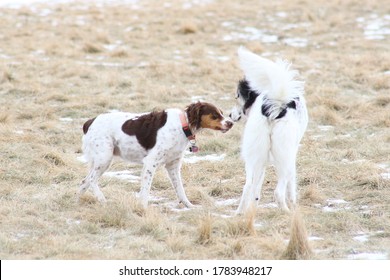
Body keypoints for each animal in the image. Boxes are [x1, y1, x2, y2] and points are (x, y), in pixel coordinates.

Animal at [77, 101, 233, 207]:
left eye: (221, 112)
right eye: (215, 115)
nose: (231, 123)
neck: (182, 126)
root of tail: (89, 122)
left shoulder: (173, 166)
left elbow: (180, 189)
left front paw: (189, 206)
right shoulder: (150, 162)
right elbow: (146, 190)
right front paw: (143, 208)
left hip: (99, 160)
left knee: (84, 181)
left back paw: (77, 203)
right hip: (104, 158)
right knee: (91, 180)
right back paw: (102, 200)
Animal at [230, 48, 310, 213]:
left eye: (237, 97)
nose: (229, 115)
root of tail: (276, 104)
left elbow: (256, 190)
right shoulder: (292, 154)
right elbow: (292, 185)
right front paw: (294, 204)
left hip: (254, 155)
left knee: (248, 186)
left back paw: (240, 213)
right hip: (284, 156)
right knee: (278, 192)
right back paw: (287, 212)